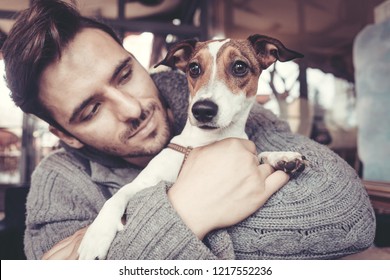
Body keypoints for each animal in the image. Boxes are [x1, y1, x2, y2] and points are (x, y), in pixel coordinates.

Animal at [77, 34, 306, 260]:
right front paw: (96, 238)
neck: (204, 142)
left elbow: (261, 155)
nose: (202, 109)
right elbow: (117, 196)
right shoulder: (144, 182)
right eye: (194, 68)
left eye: (240, 66)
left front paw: (281, 157)